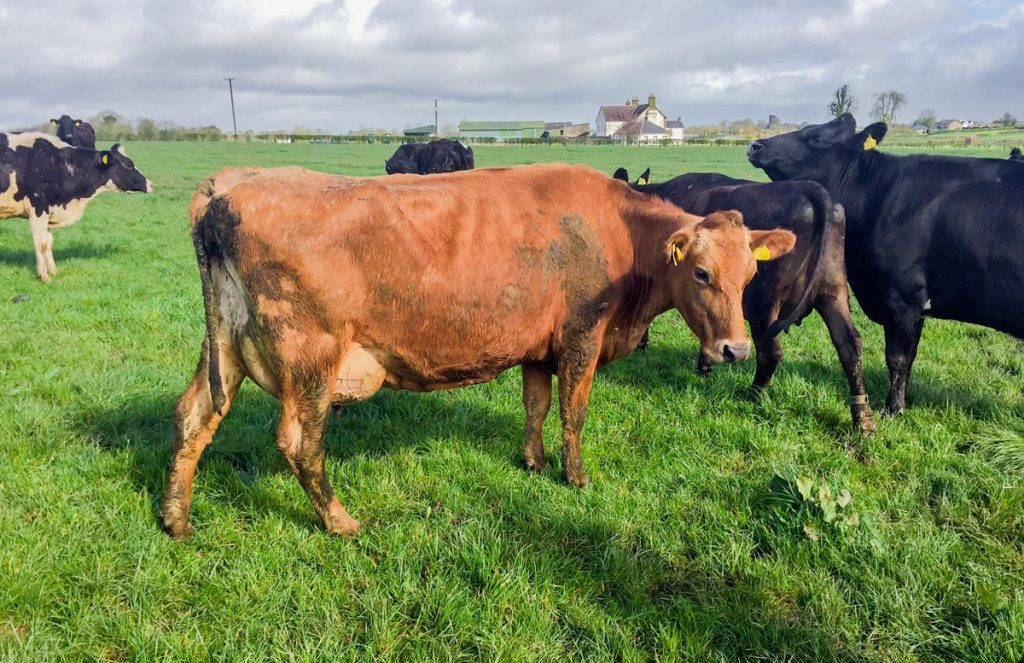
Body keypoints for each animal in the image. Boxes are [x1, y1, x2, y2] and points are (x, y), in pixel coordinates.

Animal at [0, 133, 151, 280]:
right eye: (129, 165)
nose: (151, 184)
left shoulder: (49, 210)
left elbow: (49, 241)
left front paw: (53, 272)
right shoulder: (38, 208)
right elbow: (41, 242)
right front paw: (44, 276)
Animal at [159, 164, 794, 541]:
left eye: (748, 275)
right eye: (702, 272)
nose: (736, 349)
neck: (620, 232)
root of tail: (228, 184)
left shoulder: (540, 345)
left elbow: (537, 406)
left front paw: (534, 462)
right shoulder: (583, 336)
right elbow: (574, 412)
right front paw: (576, 477)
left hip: (225, 346)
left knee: (194, 416)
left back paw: (175, 519)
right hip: (309, 356)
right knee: (300, 444)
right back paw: (342, 522)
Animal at [610, 169, 876, 432]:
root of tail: (812, 190)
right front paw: (705, 365)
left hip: (764, 305)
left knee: (771, 351)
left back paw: (754, 394)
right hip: (834, 291)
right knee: (849, 345)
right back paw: (862, 417)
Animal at [749, 114, 1024, 413]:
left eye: (816, 137)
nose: (755, 146)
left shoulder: (901, 298)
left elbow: (897, 358)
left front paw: (892, 409)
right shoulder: (915, 307)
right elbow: (910, 356)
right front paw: (903, 401)